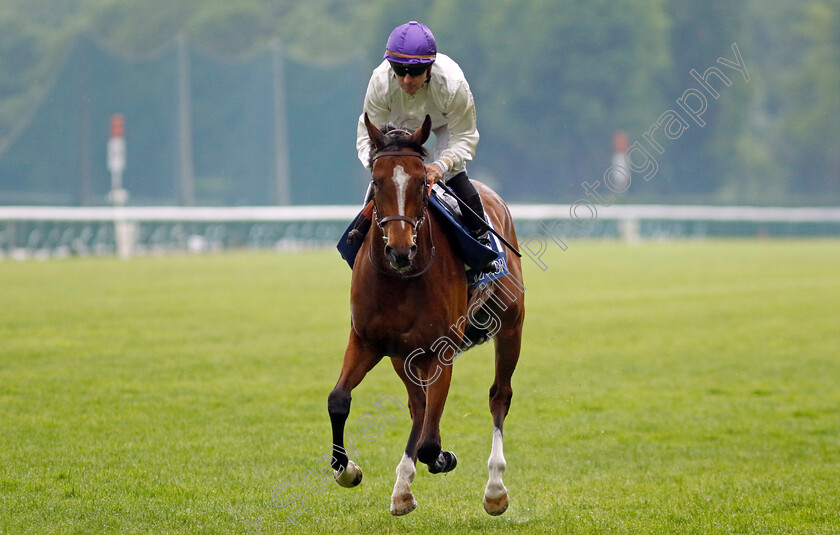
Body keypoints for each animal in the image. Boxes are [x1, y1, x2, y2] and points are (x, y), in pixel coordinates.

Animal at [328, 115, 524, 516]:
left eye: (421, 181)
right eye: (376, 181)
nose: (400, 250)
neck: (401, 280)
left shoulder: (441, 349)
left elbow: (431, 441)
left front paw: (440, 459)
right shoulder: (368, 341)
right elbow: (338, 400)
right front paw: (347, 469)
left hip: (511, 325)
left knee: (499, 395)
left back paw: (494, 488)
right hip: (402, 355)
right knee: (418, 406)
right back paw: (403, 485)